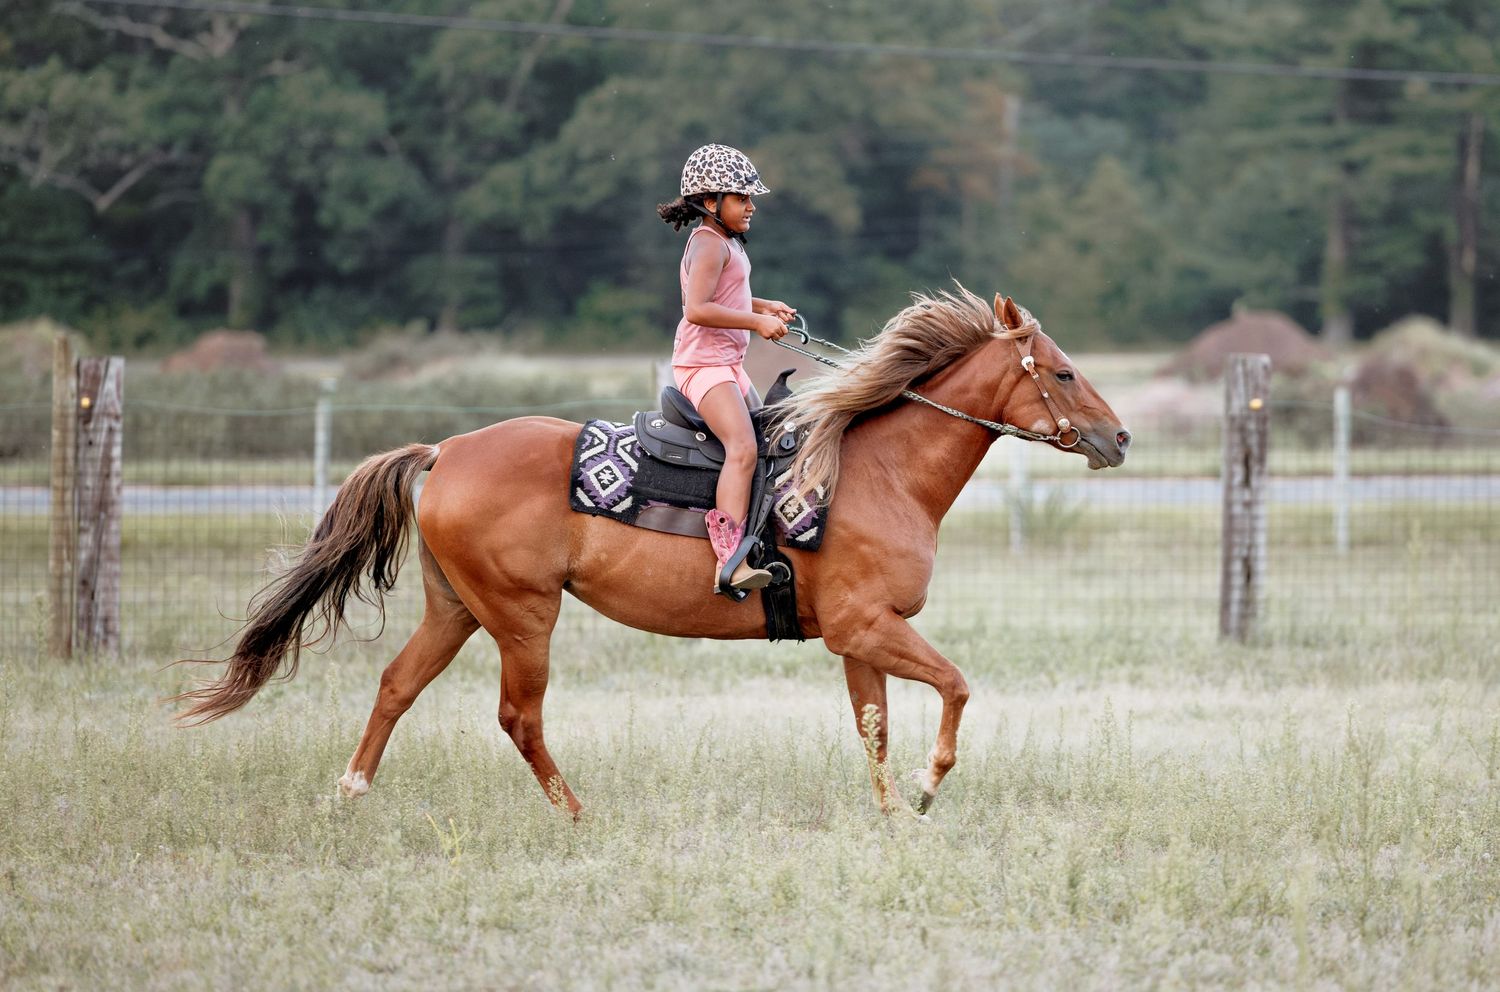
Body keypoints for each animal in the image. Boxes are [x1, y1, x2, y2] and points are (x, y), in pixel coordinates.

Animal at [176, 287, 1130, 817]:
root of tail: (445, 451)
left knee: (395, 687)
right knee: (518, 718)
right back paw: (577, 815)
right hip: (523, 618)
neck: (869, 468)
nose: (1118, 437)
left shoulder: (862, 635)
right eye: (1063, 370)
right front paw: (931, 789)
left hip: (456, 610)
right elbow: (956, 688)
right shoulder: (870, 626)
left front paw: (893, 813)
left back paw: (350, 794)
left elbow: (874, 728)